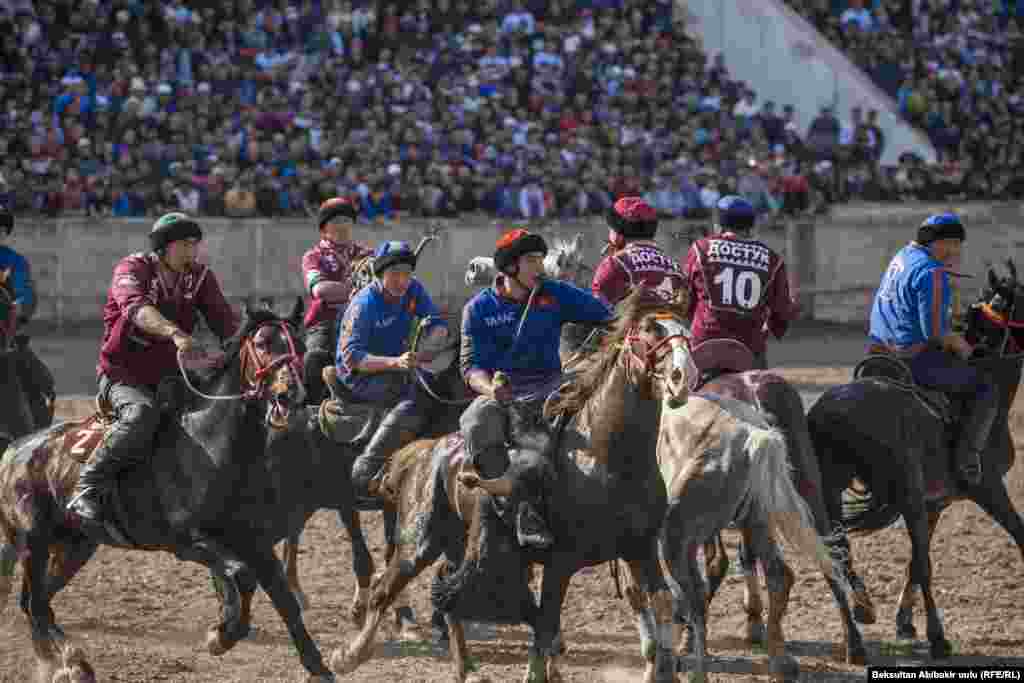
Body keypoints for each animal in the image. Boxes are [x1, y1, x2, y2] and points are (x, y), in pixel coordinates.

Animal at [0, 299, 346, 683]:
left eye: (297, 345)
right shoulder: (188, 543)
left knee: (36, 602)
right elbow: (241, 576)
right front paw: (221, 635)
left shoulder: (253, 542)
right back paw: (71, 663)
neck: (210, 442)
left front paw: (317, 667)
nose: (290, 394)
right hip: (32, 543)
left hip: (74, 547)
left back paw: (69, 661)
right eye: (262, 343)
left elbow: (283, 598)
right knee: (35, 604)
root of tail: (14, 452)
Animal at [331, 290, 692, 683]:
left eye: (685, 329)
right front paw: (537, 673)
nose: (683, 377)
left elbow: (663, 605)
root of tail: (423, 451)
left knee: (449, 593)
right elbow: (546, 623)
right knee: (386, 589)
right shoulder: (560, 562)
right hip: (418, 541)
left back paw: (467, 668)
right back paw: (347, 656)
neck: (606, 459)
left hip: (459, 544)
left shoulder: (640, 549)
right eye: (650, 329)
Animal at [806, 259, 1024, 659]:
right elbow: (1018, 537)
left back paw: (857, 632)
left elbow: (910, 566)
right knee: (920, 564)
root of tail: (834, 409)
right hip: (905, 493)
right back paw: (937, 638)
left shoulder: (935, 502)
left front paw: (903, 622)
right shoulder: (988, 489)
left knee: (837, 555)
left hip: (832, 490)